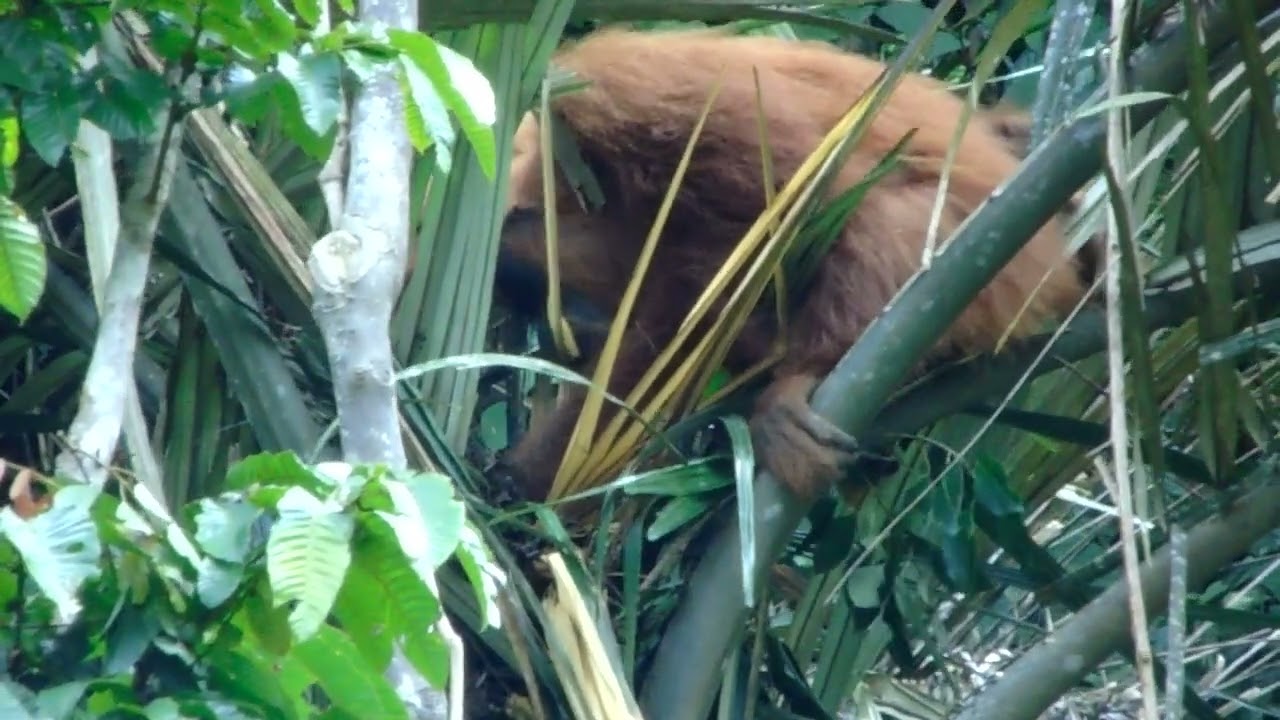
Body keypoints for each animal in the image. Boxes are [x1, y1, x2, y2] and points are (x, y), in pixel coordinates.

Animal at [490, 27, 1096, 505]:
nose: (568, 328)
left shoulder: (628, 98)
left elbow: (822, 194)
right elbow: (661, 351)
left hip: (1005, 250)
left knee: (894, 216)